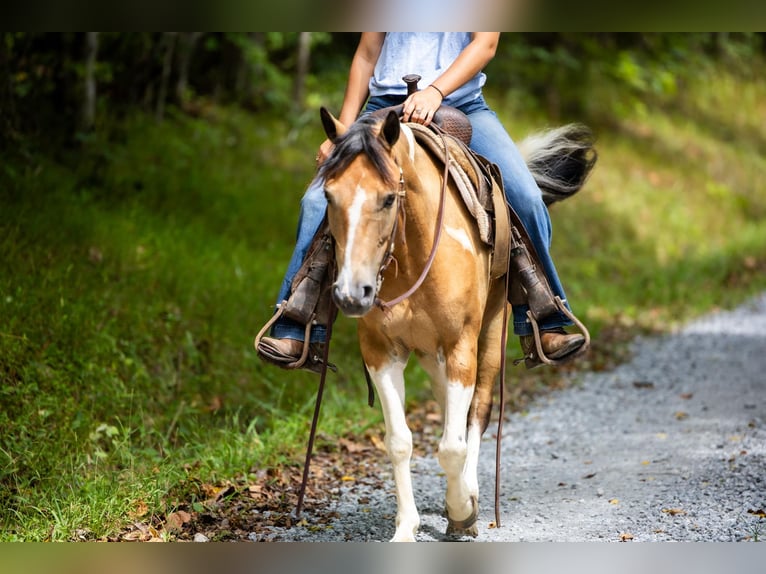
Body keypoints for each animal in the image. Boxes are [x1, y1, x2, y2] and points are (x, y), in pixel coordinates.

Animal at [317, 107, 594, 541]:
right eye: (329, 195)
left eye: (388, 198)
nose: (351, 294)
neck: (412, 253)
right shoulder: (381, 352)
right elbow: (399, 441)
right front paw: (406, 528)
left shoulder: (461, 344)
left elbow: (452, 445)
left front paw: (463, 510)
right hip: (430, 354)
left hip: (490, 335)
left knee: (477, 410)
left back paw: (470, 491)